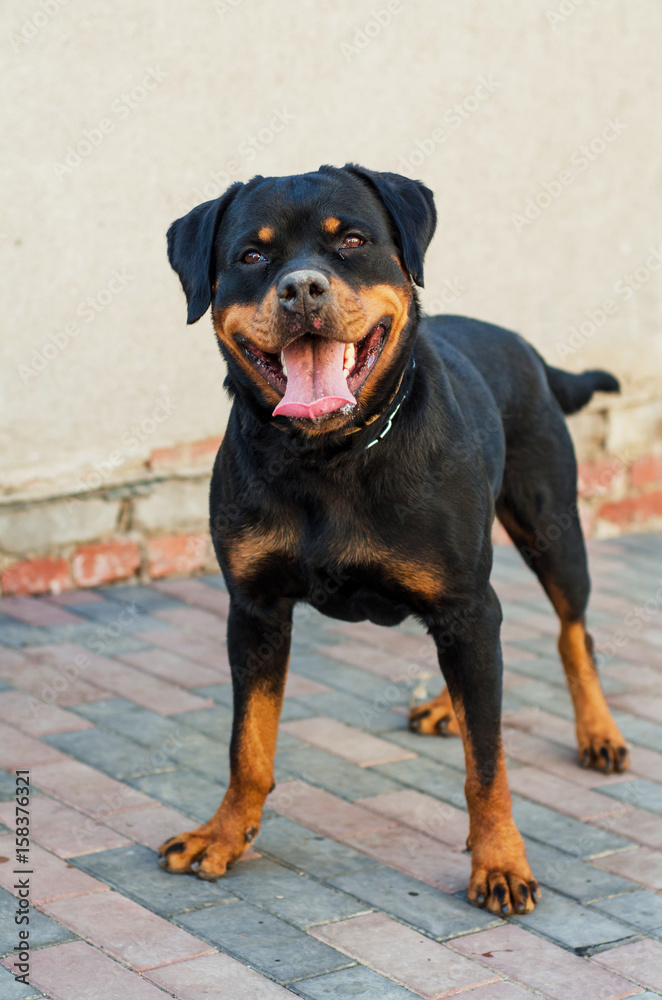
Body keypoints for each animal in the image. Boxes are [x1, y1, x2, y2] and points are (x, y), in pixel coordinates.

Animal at [160, 162, 628, 916]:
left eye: (351, 240)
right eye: (252, 256)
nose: (302, 288)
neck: (329, 456)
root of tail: (530, 349)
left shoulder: (467, 604)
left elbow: (487, 765)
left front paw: (500, 862)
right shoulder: (255, 610)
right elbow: (247, 745)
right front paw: (224, 835)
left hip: (551, 527)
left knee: (571, 631)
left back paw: (599, 733)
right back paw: (446, 707)